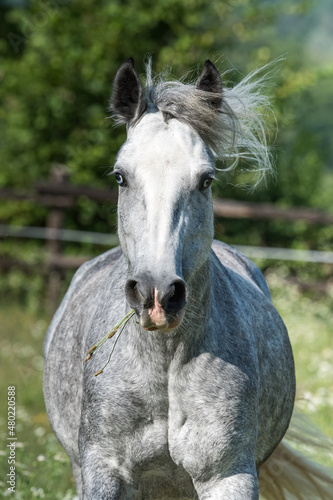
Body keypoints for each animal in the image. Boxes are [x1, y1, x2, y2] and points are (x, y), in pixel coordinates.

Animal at [43, 56, 332, 498]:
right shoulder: (104, 472)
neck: (163, 362)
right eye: (120, 176)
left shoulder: (229, 476)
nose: (157, 295)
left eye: (206, 179)